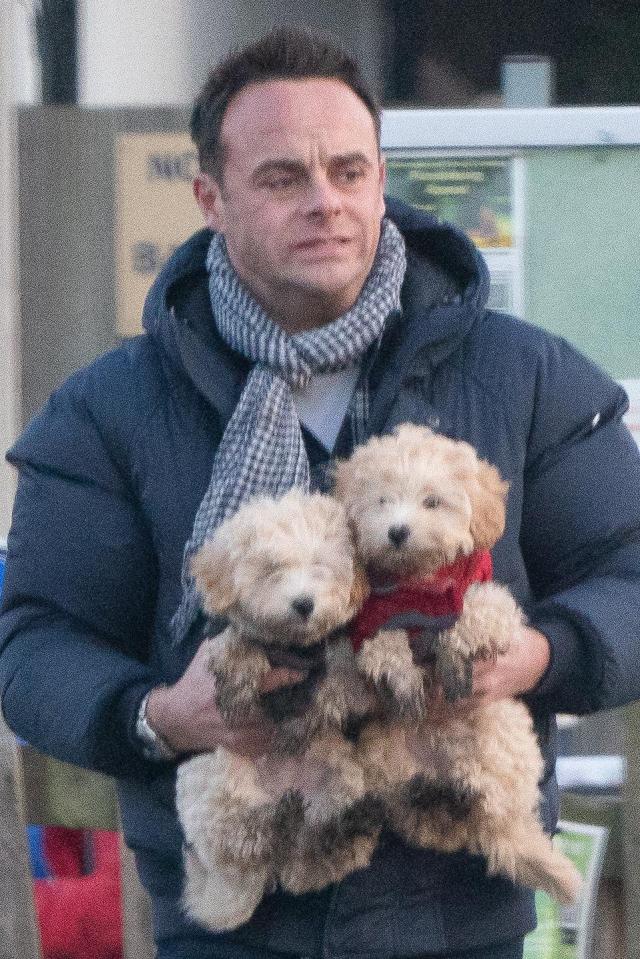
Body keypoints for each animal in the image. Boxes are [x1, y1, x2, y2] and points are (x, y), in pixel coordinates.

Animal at [174, 488, 380, 928]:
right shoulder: (234, 637)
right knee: (245, 840)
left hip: (341, 774)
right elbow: (238, 639)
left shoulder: (332, 647)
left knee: (306, 865)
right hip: (215, 782)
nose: (304, 604)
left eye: (321, 567)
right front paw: (239, 671)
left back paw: (332, 831)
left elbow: (340, 664)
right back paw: (274, 822)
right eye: (271, 569)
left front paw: (331, 697)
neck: (292, 646)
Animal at [332, 428, 584, 908]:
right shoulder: (370, 620)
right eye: (382, 500)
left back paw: (471, 790)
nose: (397, 531)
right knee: (421, 818)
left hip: (500, 730)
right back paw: (432, 797)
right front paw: (401, 673)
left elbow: (474, 614)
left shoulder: (491, 601)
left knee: (492, 807)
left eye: (432, 501)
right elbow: (382, 641)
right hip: (383, 751)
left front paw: (453, 651)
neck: (419, 586)